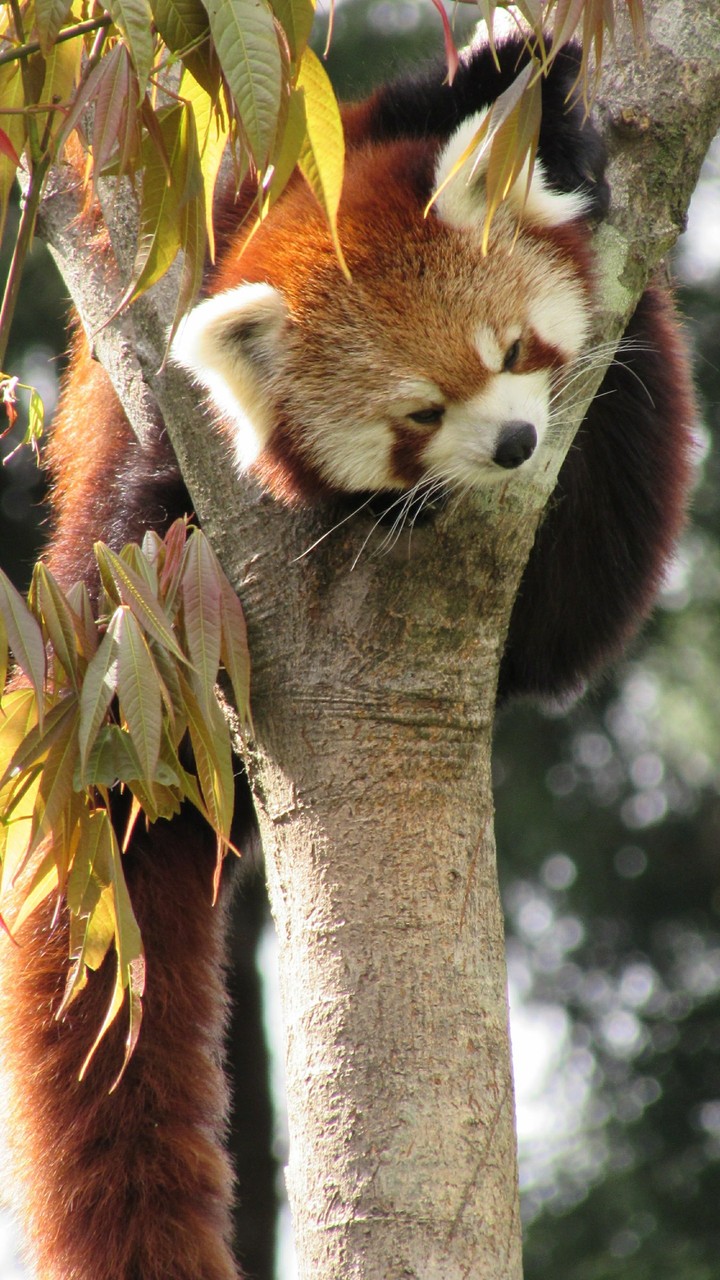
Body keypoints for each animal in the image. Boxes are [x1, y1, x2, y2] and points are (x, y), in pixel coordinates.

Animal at [0, 33, 694, 1280]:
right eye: (417, 414)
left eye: (510, 348)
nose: (515, 442)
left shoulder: (314, 145)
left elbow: (434, 102)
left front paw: (525, 74)